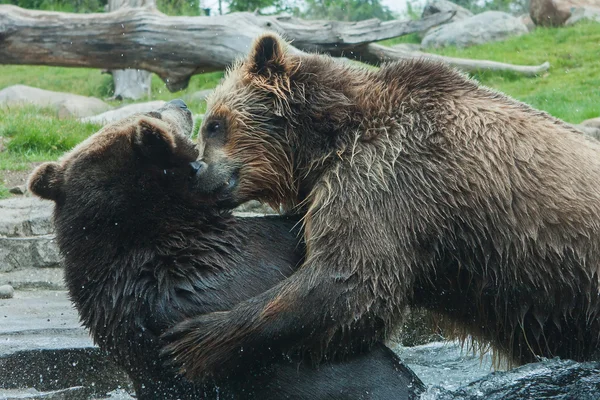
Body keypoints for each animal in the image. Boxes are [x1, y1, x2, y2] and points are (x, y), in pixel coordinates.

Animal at [162, 33, 600, 378]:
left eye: (214, 124)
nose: (196, 172)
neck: (326, 140)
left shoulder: (385, 175)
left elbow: (352, 279)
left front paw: (192, 341)